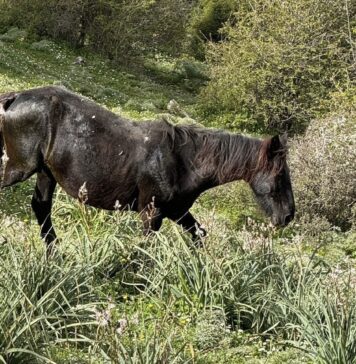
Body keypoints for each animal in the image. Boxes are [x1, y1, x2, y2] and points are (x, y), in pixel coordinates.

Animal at [0, 86, 294, 252]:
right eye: (280, 175)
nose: (288, 216)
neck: (182, 161)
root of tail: (16, 97)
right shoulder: (151, 214)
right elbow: (145, 249)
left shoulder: (178, 211)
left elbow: (199, 236)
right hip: (20, 168)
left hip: (45, 173)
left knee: (41, 208)